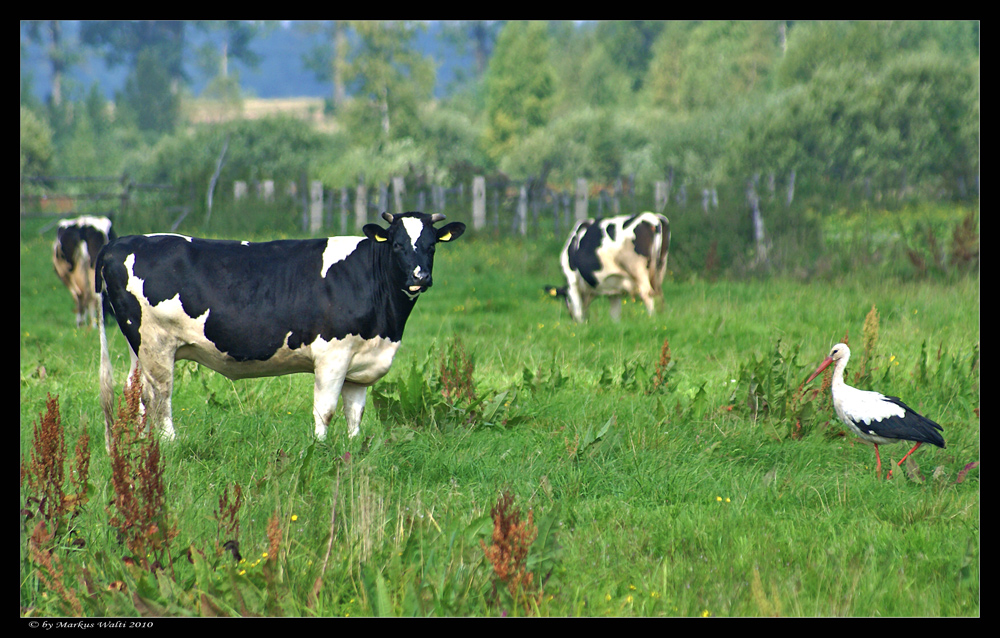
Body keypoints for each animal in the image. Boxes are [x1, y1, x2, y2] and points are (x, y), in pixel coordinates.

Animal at [97, 211, 464, 450]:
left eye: (431, 245)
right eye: (398, 244)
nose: (420, 276)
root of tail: (122, 242)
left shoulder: (360, 362)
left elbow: (355, 412)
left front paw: (354, 447)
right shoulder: (332, 355)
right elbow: (325, 409)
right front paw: (319, 448)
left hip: (139, 347)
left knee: (134, 392)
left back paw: (141, 445)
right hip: (156, 344)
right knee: (157, 395)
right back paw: (169, 443)